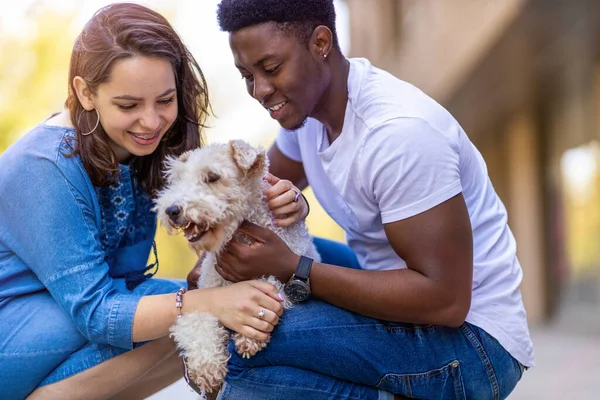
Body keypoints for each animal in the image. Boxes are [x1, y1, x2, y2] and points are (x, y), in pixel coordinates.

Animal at [155, 139, 322, 392]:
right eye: (179, 178)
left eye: (212, 177)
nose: (172, 210)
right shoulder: (206, 293)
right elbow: (198, 321)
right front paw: (207, 367)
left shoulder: (284, 268)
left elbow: (272, 283)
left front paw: (249, 338)